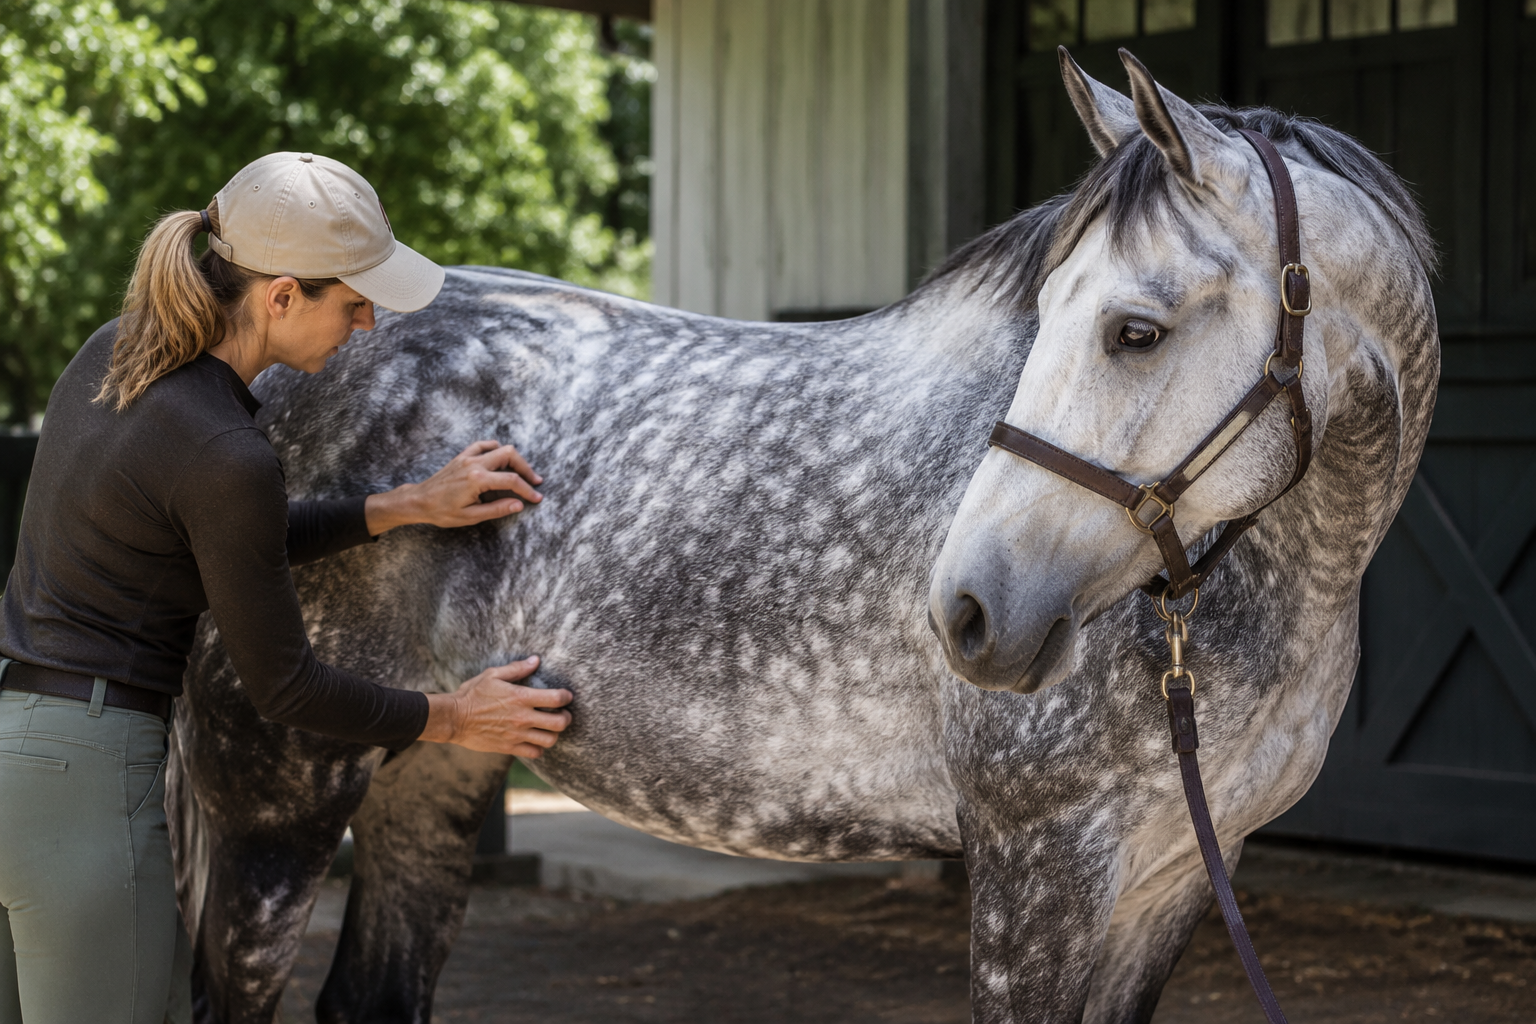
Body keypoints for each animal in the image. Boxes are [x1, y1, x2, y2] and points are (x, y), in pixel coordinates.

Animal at [168, 49, 1438, 1023]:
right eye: (1052, 315)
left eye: (1137, 329)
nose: (969, 610)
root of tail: (260, 376)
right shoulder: (1039, 871)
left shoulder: (1169, 880)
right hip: (277, 804)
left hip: (432, 767)